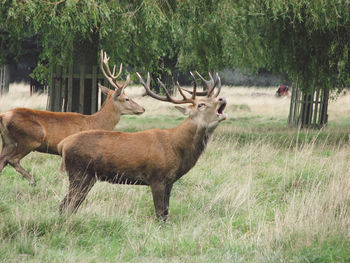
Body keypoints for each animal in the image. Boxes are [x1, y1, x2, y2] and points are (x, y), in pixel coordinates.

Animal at [0, 50, 145, 185]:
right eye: (127, 98)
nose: (142, 109)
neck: (95, 123)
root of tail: (3, 116)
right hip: (31, 138)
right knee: (12, 159)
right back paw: (32, 180)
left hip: (8, 141)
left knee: (3, 160)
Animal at [57, 71, 227, 222]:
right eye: (201, 104)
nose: (222, 98)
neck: (176, 147)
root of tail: (63, 144)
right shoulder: (157, 177)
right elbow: (160, 214)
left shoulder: (170, 181)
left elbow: (166, 212)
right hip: (79, 173)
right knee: (65, 205)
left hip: (89, 177)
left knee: (71, 205)